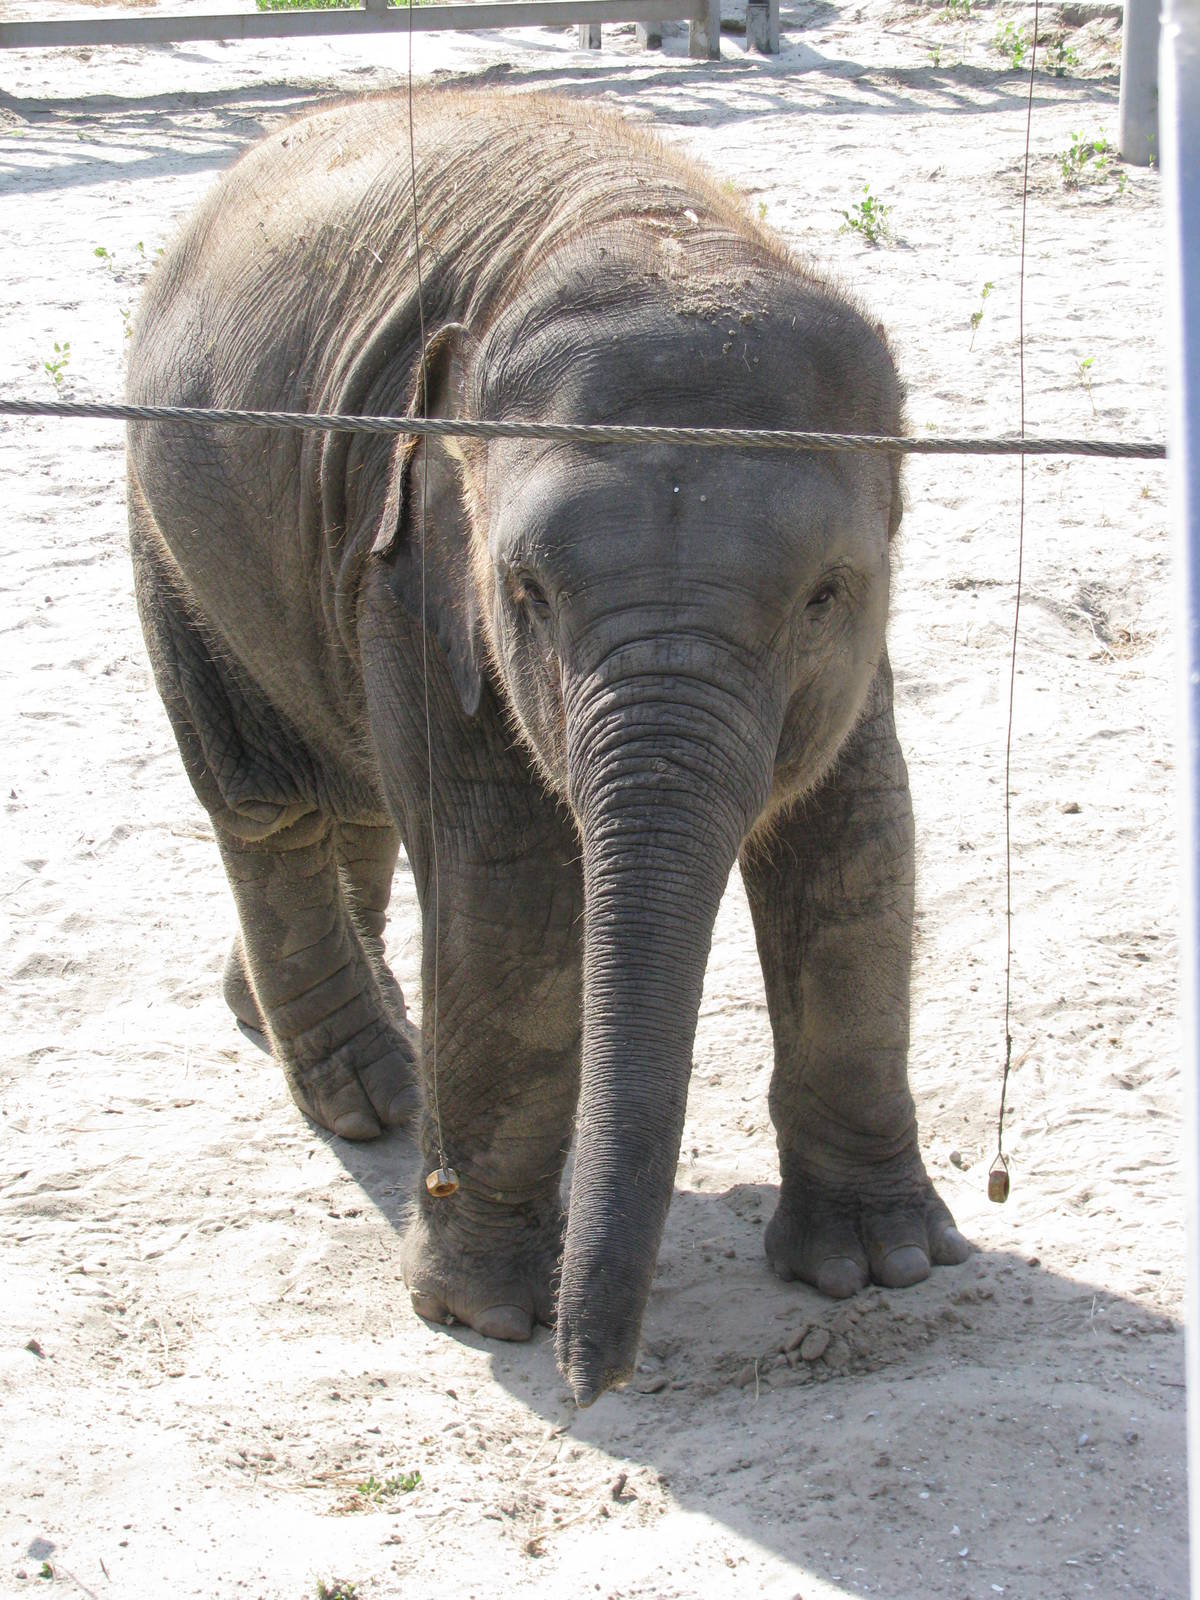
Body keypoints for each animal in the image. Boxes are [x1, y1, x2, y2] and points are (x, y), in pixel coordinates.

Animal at [125, 89, 969, 1408]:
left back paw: (283, 1023)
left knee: (352, 792)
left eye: (826, 594)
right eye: (526, 592)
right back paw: (367, 1095)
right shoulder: (417, 562)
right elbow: (511, 884)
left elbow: (857, 837)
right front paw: (485, 1315)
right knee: (269, 805)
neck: (652, 227)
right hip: (170, 531)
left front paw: (878, 1267)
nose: (594, 1377)